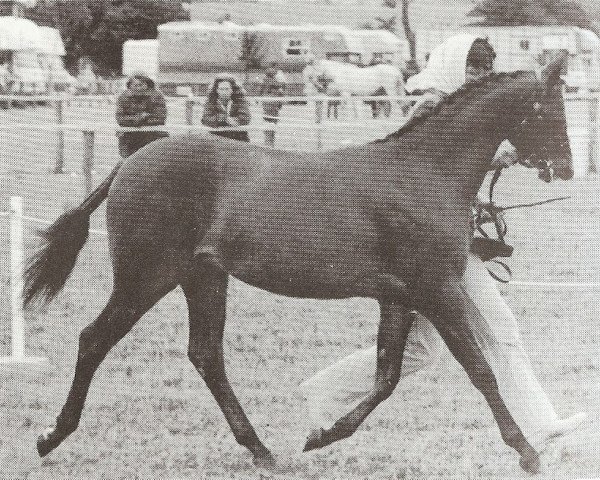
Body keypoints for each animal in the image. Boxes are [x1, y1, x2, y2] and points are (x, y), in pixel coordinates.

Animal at [27, 56, 572, 472]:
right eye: (548, 108)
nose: (565, 167)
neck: (422, 173)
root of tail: (130, 162)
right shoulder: (437, 289)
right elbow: (480, 369)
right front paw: (527, 452)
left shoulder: (398, 295)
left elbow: (387, 376)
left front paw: (321, 436)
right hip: (145, 278)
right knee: (94, 339)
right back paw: (52, 436)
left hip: (204, 278)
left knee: (206, 355)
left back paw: (262, 451)